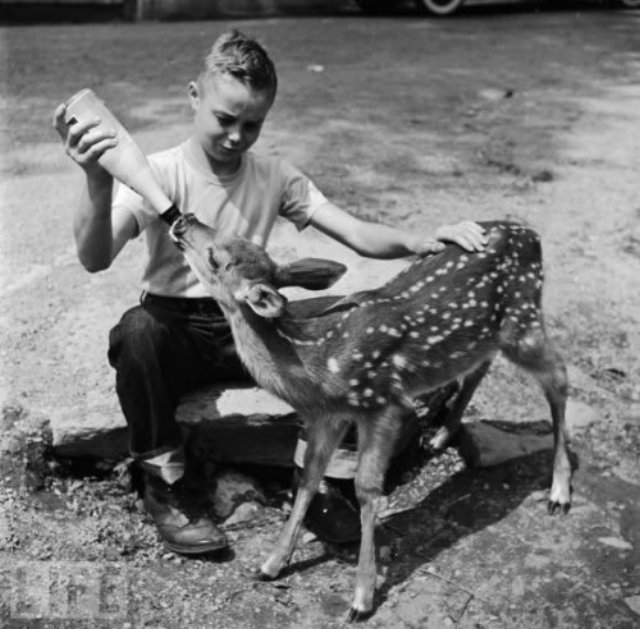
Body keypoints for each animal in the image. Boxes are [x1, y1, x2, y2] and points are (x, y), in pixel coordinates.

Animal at [169, 214, 571, 622]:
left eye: (216, 257)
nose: (184, 219)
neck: (316, 361)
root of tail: (531, 234)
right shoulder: (328, 416)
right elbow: (310, 476)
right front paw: (271, 563)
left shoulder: (382, 402)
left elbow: (366, 488)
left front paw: (362, 597)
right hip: (484, 335)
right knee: (481, 366)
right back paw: (441, 436)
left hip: (523, 321)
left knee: (559, 378)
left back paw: (559, 491)